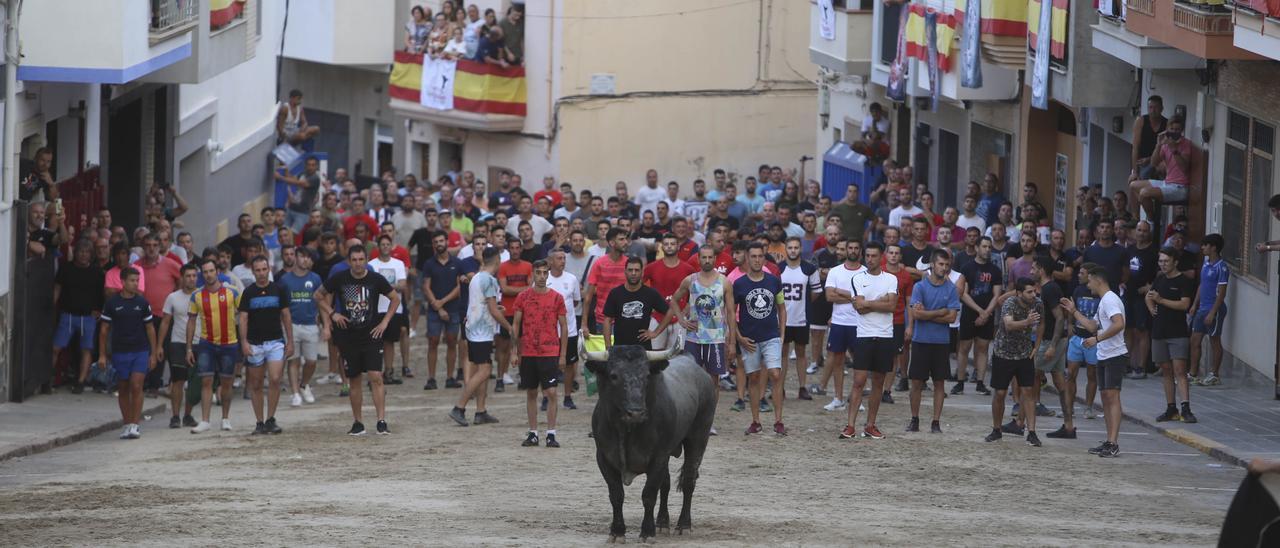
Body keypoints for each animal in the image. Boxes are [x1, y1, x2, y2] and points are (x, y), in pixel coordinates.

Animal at [583, 340, 716, 540]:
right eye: (614, 375)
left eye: (646, 375)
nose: (636, 412)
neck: (626, 430)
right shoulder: (604, 458)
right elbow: (616, 495)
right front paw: (617, 531)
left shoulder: (658, 457)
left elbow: (649, 494)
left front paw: (647, 531)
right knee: (666, 484)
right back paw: (662, 523)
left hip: (698, 439)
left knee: (688, 481)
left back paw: (683, 525)